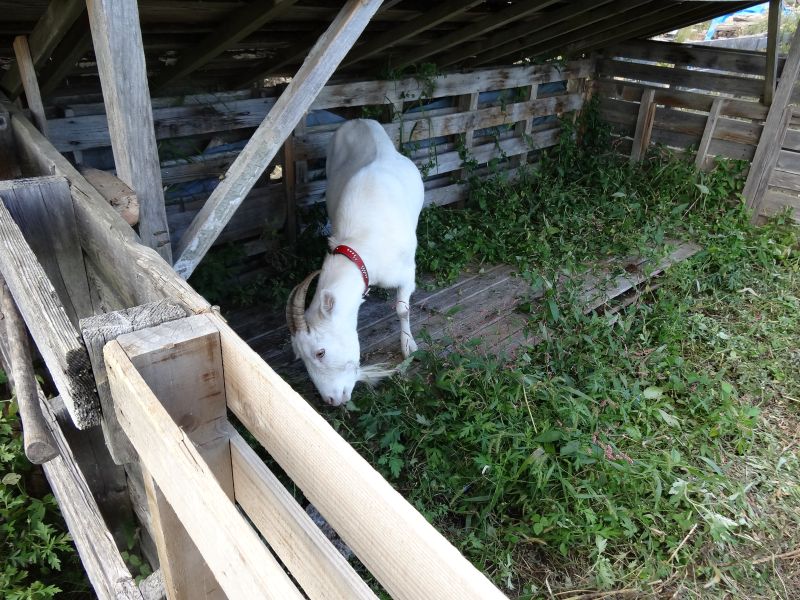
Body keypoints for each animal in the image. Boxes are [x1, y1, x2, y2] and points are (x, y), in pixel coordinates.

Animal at [286, 119, 424, 406]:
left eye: (320, 352)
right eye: (300, 357)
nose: (331, 400)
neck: (364, 242)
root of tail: (361, 121)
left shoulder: (408, 271)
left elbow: (402, 310)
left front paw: (408, 346)